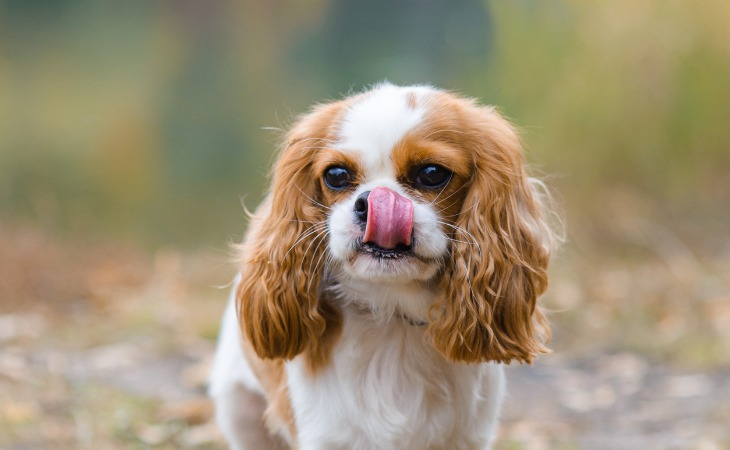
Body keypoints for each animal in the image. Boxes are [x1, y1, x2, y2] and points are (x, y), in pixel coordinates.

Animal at [210, 83, 556, 450]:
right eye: (336, 176)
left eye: (432, 174)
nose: (372, 201)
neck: (394, 316)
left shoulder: (469, 438)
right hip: (238, 410)